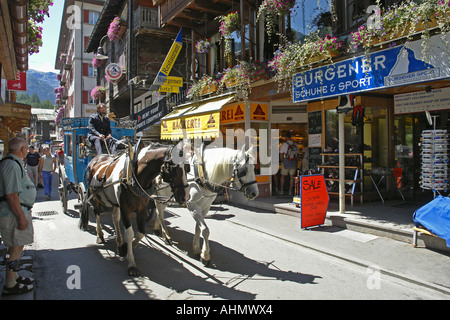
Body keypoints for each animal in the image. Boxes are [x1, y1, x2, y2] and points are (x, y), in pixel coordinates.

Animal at [79, 142, 188, 276]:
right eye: (174, 169)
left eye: (187, 167)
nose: (185, 197)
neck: (134, 176)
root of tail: (95, 158)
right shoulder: (125, 208)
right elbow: (130, 234)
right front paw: (131, 263)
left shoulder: (141, 208)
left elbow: (140, 233)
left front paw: (125, 248)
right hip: (94, 196)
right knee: (97, 213)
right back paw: (100, 235)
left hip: (115, 202)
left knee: (115, 219)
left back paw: (119, 242)